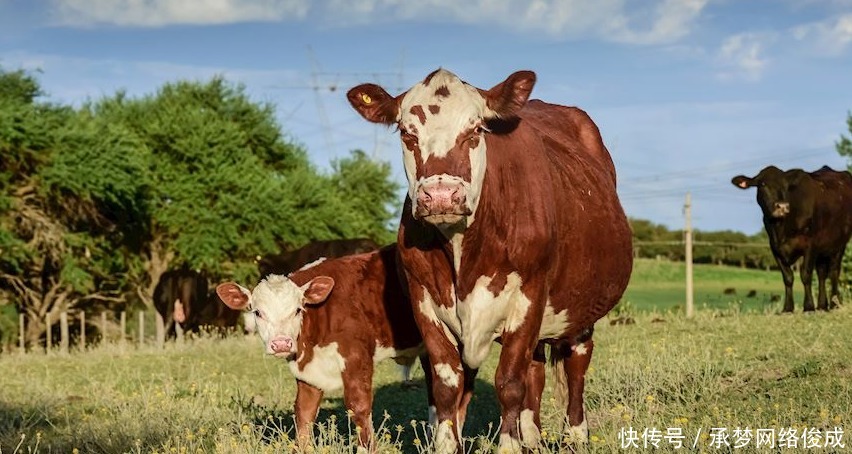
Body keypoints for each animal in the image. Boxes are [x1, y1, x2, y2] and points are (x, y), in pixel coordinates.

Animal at [216, 245, 430, 450]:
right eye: (258, 312)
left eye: (297, 310)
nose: (281, 343)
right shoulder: (307, 370)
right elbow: (304, 411)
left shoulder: (356, 357)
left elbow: (359, 406)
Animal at [346, 67, 632, 450]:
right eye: (407, 132)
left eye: (475, 130)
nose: (441, 196)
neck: (461, 252)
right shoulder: (424, 300)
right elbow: (447, 385)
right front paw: (448, 445)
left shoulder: (529, 295)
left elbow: (509, 382)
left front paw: (509, 447)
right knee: (535, 371)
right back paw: (533, 438)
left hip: (583, 305)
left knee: (575, 366)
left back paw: (575, 436)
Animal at [732, 166, 852, 312]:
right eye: (763, 184)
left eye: (786, 186)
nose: (782, 206)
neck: (781, 228)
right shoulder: (775, 247)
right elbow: (788, 277)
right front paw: (788, 308)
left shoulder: (810, 245)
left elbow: (805, 275)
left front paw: (808, 307)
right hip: (823, 248)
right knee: (822, 273)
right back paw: (822, 305)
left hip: (839, 243)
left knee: (834, 271)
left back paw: (835, 304)